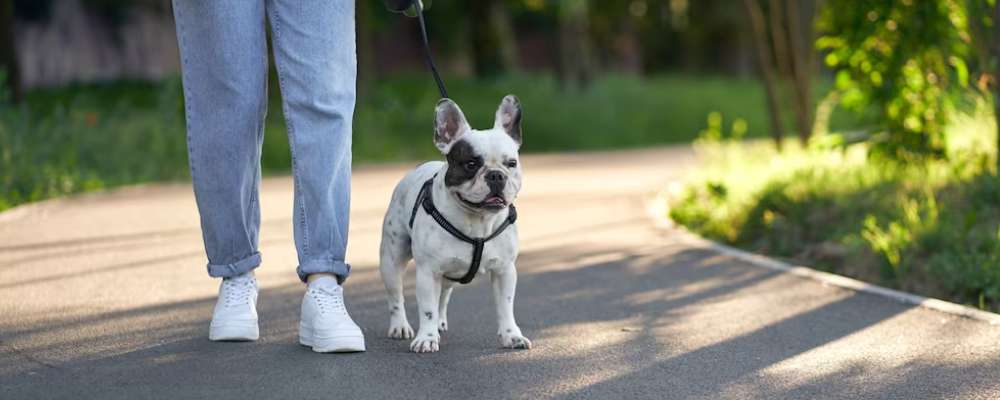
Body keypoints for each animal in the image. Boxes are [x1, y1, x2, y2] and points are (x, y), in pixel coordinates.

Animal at [376, 96, 532, 354]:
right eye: (470, 164)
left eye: (511, 163)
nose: (496, 175)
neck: (478, 221)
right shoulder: (428, 272)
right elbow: (426, 308)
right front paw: (426, 338)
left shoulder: (505, 271)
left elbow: (505, 307)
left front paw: (512, 336)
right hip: (391, 260)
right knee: (396, 295)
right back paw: (400, 326)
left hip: (449, 273)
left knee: (444, 295)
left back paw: (439, 323)